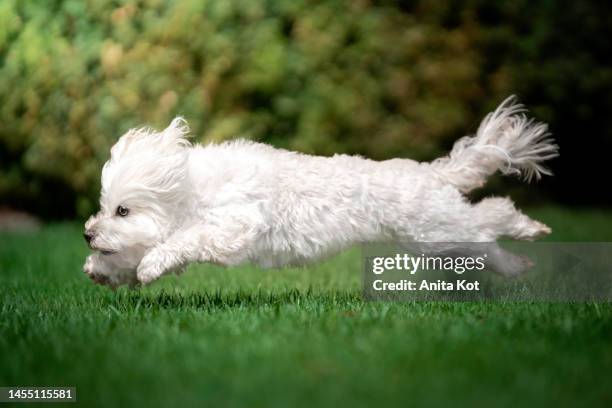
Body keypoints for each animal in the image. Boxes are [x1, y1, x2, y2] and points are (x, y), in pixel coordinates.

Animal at [82, 96, 560, 288]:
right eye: (104, 208)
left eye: (122, 210)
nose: (87, 233)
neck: (190, 189)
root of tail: (432, 174)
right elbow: (133, 254)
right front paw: (101, 269)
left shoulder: (233, 225)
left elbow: (182, 242)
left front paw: (149, 266)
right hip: (437, 235)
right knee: (488, 226)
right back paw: (524, 249)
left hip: (436, 231)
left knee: (490, 222)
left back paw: (525, 242)